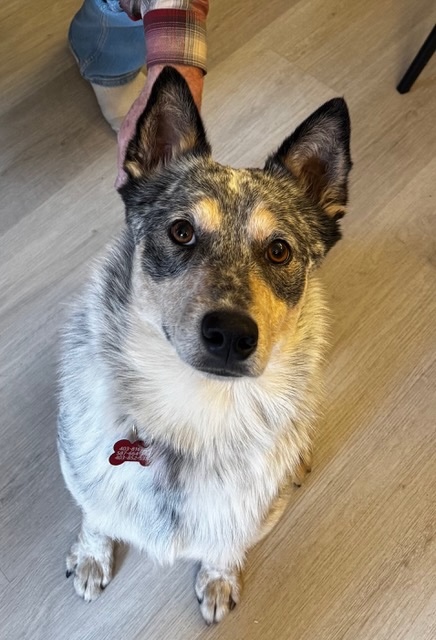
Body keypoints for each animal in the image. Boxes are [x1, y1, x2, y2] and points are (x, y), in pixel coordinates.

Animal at [58, 66, 351, 624]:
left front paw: (218, 579)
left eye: (279, 250)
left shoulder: (248, 517)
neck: (197, 411)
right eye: (181, 231)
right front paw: (91, 556)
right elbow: (95, 515)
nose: (232, 334)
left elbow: (225, 545)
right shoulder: (82, 474)